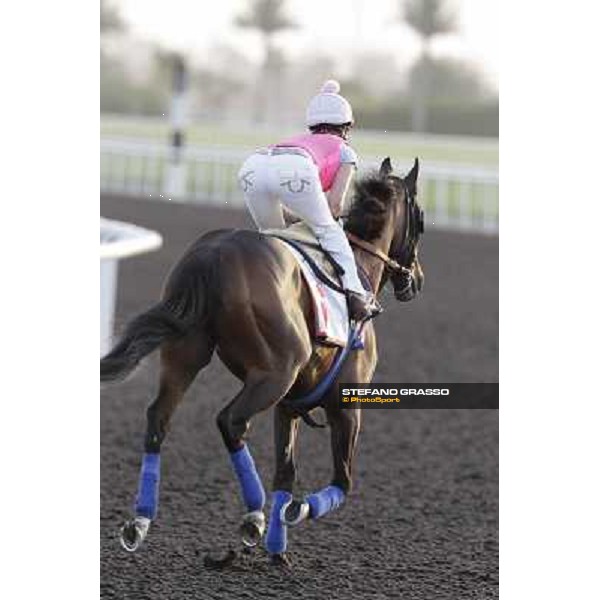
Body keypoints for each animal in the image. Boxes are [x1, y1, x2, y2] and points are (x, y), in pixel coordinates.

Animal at [101, 156, 424, 568]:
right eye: (421, 219)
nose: (416, 280)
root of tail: (215, 253)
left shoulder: (289, 405)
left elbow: (285, 474)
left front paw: (278, 550)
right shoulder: (345, 406)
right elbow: (342, 481)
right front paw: (297, 512)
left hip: (185, 356)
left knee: (159, 418)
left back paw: (140, 521)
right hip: (274, 372)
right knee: (230, 421)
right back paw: (251, 516)